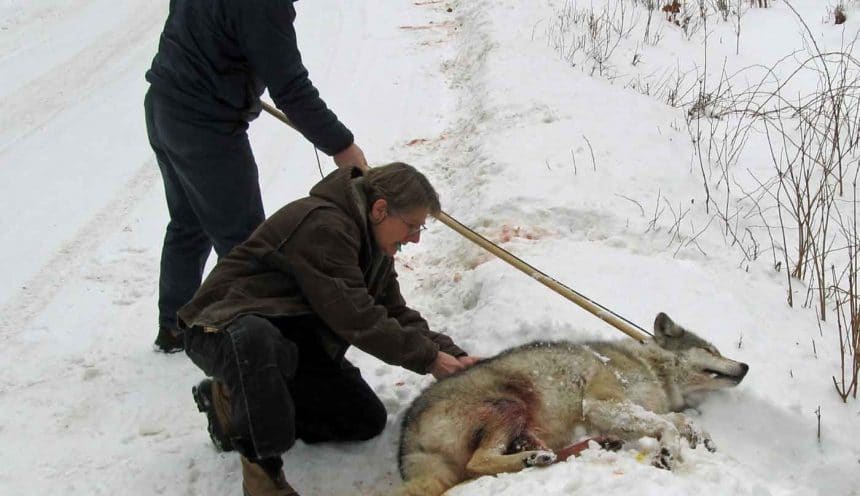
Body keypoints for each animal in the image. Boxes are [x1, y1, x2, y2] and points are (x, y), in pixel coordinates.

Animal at [396, 313, 749, 496]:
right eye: (712, 351)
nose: (745, 366)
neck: (651, 366)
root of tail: (406, 443)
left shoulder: (637, 408)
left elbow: (683, 420)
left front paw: (703, 438)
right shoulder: (602, 404)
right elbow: (667, 425)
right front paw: (666, 452)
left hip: (530, 427)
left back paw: (588, 446)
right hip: (510, 406)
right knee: (477, 463)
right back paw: (533, 459)